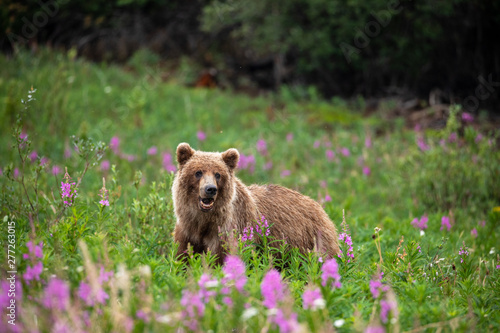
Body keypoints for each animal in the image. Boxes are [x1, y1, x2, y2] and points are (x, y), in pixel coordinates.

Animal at [172, 142, 340, 262]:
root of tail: (320, 208)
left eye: (218, 174)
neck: (204, 220)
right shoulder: (187, 230)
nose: (210, 189)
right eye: (198, 172)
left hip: (313, 239)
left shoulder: (230, 229)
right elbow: (183, 256)